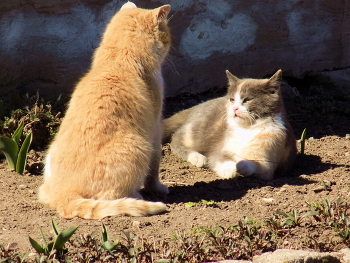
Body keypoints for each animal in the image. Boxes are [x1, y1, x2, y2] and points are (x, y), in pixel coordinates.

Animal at [38, 2, 172, 220]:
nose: (169, 41)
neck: (117, 59)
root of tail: (64, 195)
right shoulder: (155, 130)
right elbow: (155, 167)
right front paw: (158, 188)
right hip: (138, 147)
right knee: (110, 197)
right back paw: (136, 197)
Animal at [163, 70, 296, 182]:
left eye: (247, 100)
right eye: (232, 100)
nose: (234, 108)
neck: (246, 129)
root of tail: (197, 106)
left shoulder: (272, 152)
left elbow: (262, 166)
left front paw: (242, 164)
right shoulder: (221, 149)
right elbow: (220, 158)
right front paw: (230, 170)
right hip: (198, 131)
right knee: (176, 139)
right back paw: (197, 157)